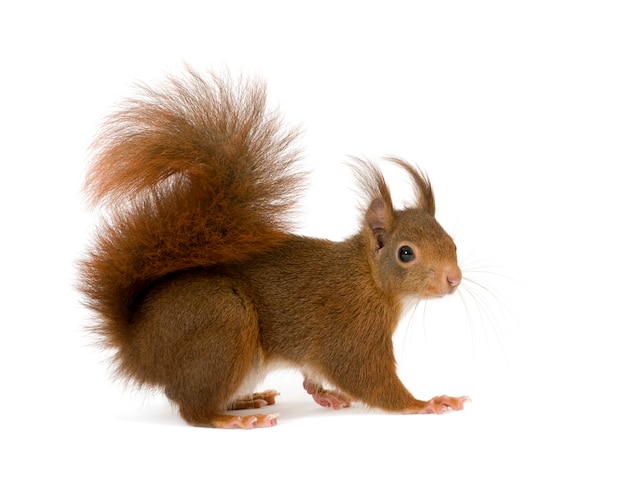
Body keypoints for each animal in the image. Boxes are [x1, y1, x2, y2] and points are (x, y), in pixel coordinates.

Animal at [79, 67, 468, 428]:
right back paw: (233, 419)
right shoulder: (351, 329)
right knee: (192, 408)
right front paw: (426, 403)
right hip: (223, 322)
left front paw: (323, 393)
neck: (369, 279)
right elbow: (365, 377)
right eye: (406, 253)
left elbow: (316, 375)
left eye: (452, 242)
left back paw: (247, 400)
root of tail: (139, 348)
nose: (454, 279)